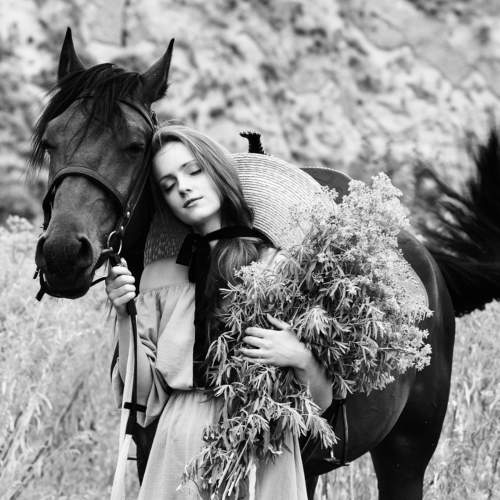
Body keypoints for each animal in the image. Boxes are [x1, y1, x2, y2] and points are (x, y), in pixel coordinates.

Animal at [30, 29, 500, 499]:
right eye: (51, 140)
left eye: (135, 146)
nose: (63, 254)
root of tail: (428, 267)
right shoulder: (148, 448)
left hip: (405, 455)